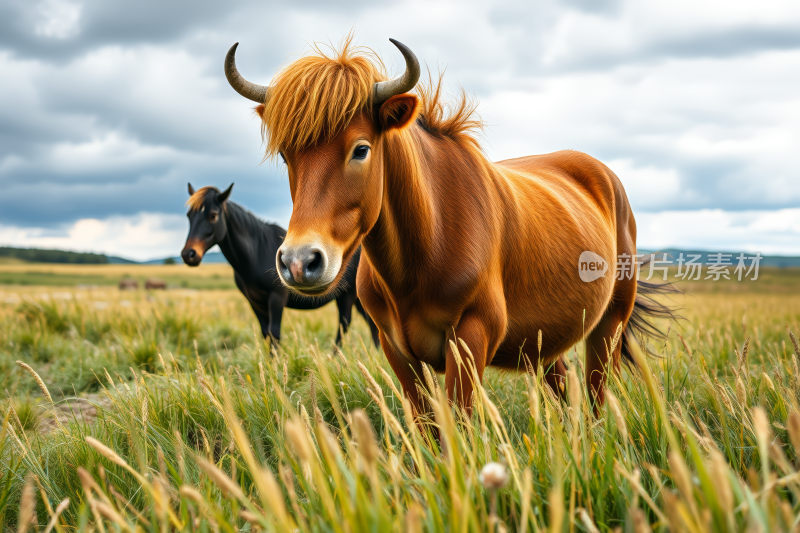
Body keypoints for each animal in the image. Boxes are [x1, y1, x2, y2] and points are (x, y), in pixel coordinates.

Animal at [181, 183, 382, 348]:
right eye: (189, 216)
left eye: (213, 216)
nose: (188, 254)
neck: (257, 253)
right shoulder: (255, 302)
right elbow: (266, 334)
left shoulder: (276, 298)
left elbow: (274, 334)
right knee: (372, 324)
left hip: (347, 295)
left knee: (344, 325)